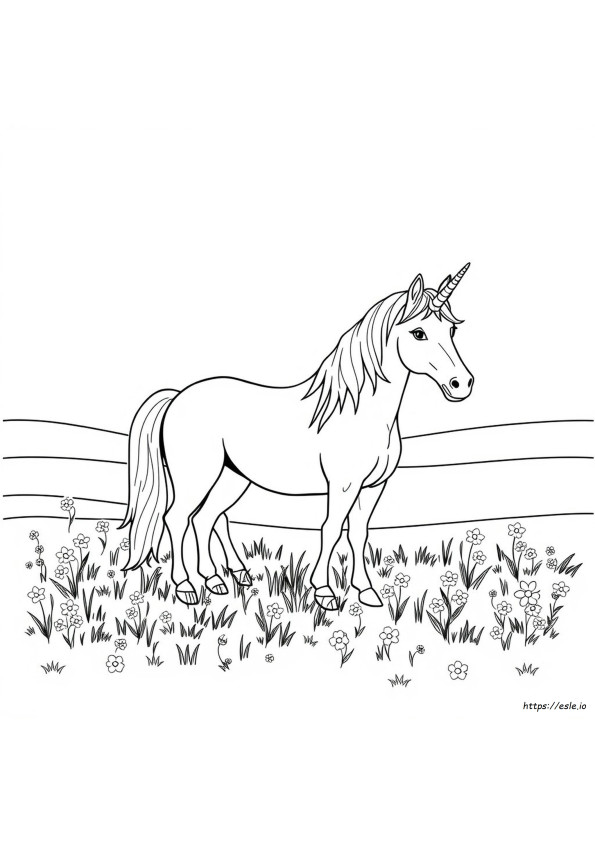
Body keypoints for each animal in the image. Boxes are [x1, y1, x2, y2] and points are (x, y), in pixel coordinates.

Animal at [121, 264, 474, 610]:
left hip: (232, 477)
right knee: (177, 517)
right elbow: (331, 529)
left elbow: (359, 533)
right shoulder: (343, 486)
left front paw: (366, 591)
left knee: (208, 518)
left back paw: (223, 579)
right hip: (196, 478)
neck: (359, 412)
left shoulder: (373, 487)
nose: (462, 384)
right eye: (418, 333)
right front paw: (325, 592)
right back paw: (186, 586)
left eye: (451, 331)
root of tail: (177, 397)